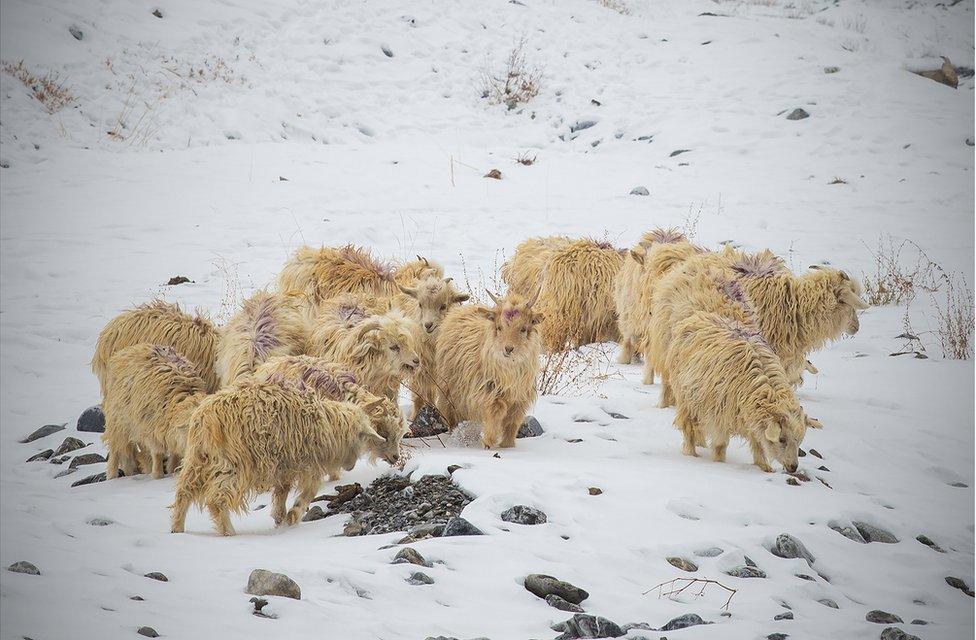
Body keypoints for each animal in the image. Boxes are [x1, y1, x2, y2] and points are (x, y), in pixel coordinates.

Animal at [101, 348, 208, 478]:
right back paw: (112, 475)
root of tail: (126, 350)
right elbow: (157, 453)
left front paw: (172, 470)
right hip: (117, 421)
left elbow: (174, 454)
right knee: (115, 449)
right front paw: (158, 475)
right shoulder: (151, 428)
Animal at [173, 380, 390, 536]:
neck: (327, 423)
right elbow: (308, 491)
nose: (350, 465)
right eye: (361, 437)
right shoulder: (307, 464)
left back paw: (177, 528)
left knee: (184, 490)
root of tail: (204, 419)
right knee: (216, 498)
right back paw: (228, 532)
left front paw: (280, 518)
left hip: (198, 457)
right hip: (232, 461)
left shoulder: (284, 465)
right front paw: (292, 516)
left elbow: (282, 491)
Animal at [432, 292, 540, 448]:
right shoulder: (489, 391)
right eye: (499, 327)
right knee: (452, 412)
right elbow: (497, 411)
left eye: (523, 329)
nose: (508, 349)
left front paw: (507, 445)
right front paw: (489, 441)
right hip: (449, 390)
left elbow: (512, 421)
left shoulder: (520, 398)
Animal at [668, 310, 804, 476]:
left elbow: (758, 443)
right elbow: (720, 445)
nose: (793, 467)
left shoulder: (751, 416)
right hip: (686, 398)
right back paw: (691, 452)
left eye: (798, 439)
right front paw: (719, 463)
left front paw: (764, 467)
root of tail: (697, 316)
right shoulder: (719, 414)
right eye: (782, 439)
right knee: (688, 426)